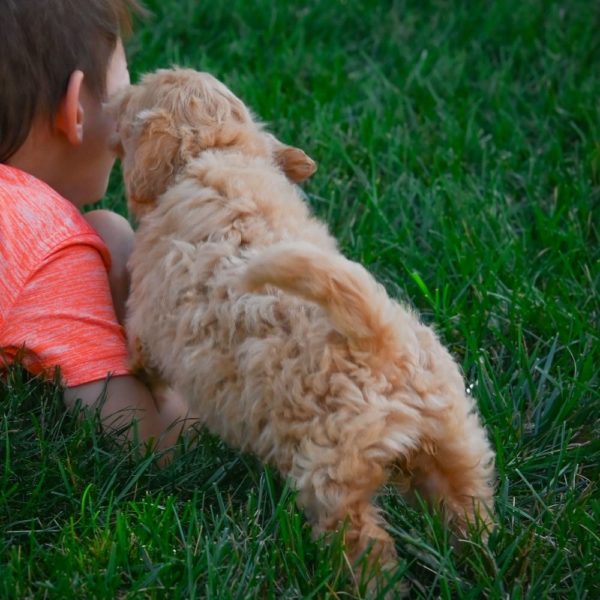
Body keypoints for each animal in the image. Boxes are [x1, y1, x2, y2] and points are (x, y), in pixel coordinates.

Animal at [110, 68, 494, 584]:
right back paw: (487, 564)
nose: (113, 99)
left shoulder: (147, 318)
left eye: (133, 100)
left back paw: (366, 584)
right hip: (455, 440)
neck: (217, 152)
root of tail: (379, 337)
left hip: (334, 474)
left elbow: (140, 353)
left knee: (364, 541)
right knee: (470, 509)